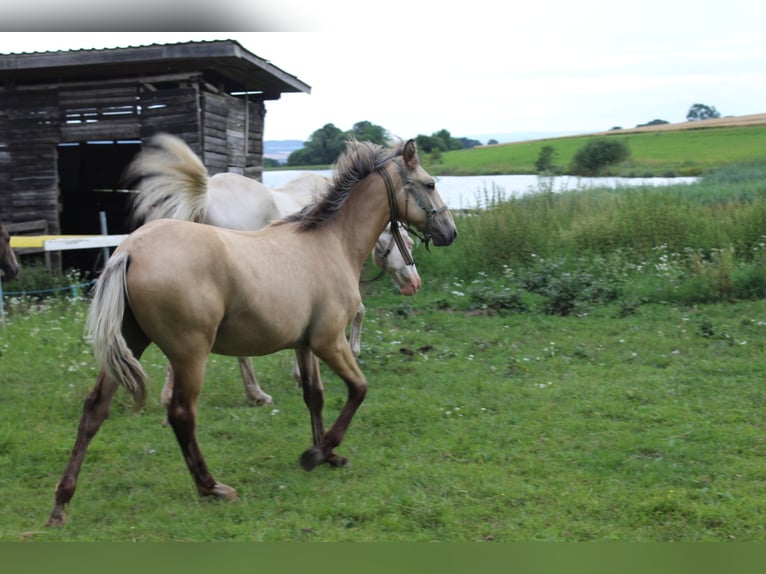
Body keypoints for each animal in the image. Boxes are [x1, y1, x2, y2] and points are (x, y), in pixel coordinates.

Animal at [129, 135, 424, 410]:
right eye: (408, 243)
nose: (415, 284)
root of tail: (207, 196)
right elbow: (360, 311)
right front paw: (346, 353)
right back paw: (256, 394)